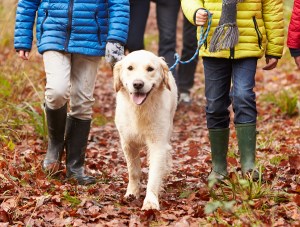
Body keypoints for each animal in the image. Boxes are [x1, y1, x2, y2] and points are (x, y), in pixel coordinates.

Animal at [113, 50, 178, 210]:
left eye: (150, 69)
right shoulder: (128, 143)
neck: (140, 109)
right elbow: (134, 171)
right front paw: (132, 193)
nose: (137, 84)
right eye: (130, 68)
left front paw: (150, 202)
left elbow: (154, 175)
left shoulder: (158, 144)